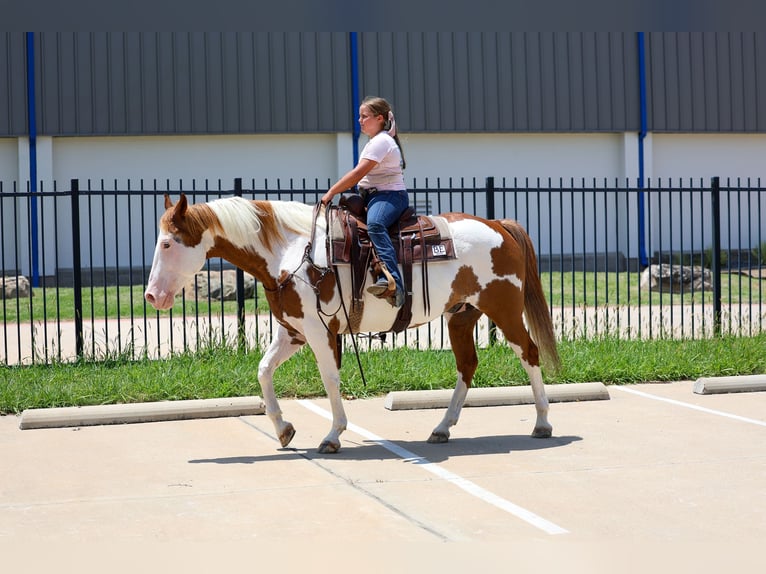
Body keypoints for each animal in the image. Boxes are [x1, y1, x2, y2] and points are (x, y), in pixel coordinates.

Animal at [144, 194, 560, 454]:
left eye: (167, 244)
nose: (151, 296)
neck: (291, 253)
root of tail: (499, 225)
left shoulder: (318, 332)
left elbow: (329, 379)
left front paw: (332, 435)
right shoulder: (292, 331)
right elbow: (263, 370)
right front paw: (283, 429)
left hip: (504, 310)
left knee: (529, 353)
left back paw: (542, 423)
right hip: (461, 316)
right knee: (467, 365)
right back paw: (442, 428)